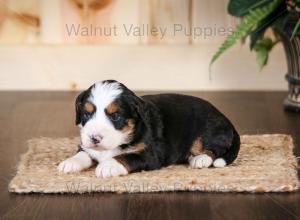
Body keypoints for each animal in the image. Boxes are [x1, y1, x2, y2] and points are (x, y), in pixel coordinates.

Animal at [57, 80, 240, 178]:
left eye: (115, 116)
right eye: (86, 114)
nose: (95, 138)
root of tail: (226, 118)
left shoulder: (151, 154)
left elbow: (127, 156)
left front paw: (109, 165)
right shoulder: (86, 145)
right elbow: (84, 153)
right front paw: (69, 162)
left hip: (205, 133)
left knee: (214, 150)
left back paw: (200, 159)